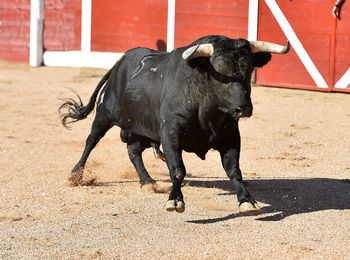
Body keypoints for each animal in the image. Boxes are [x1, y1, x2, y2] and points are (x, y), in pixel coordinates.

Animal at [60, 34, 290, 213]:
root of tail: (122, 60)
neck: (207, 110)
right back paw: (75, 174)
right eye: (220, 73)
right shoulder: (170, 132)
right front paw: (175, 199)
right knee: (91, 140)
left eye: (249, 70)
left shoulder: (231, 135)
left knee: (133, 151)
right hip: (104, 113)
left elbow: (234, 169)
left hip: (142, 130)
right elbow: (177, 168)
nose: (244, 108)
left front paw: (246, 200)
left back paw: (147, 182)